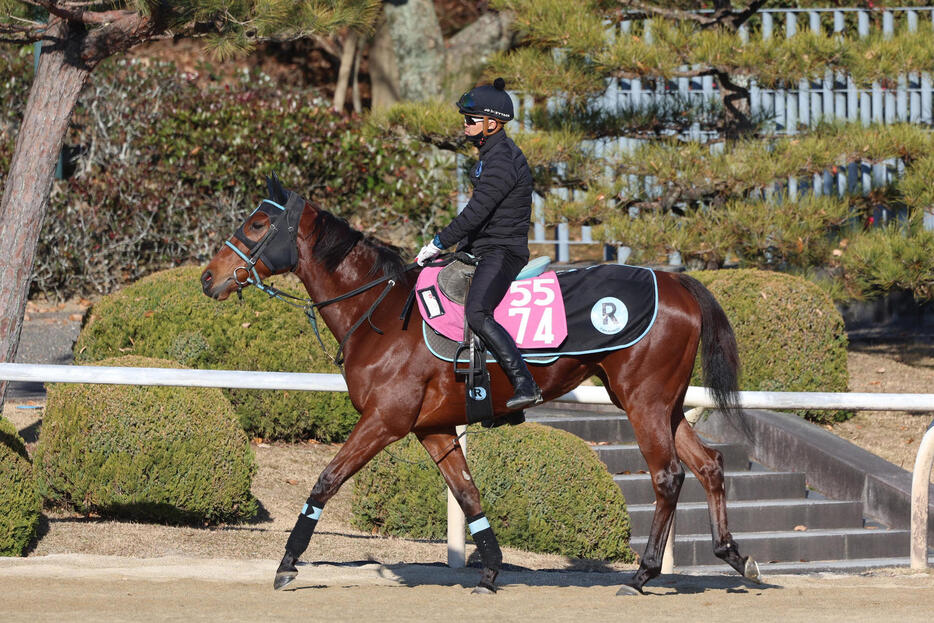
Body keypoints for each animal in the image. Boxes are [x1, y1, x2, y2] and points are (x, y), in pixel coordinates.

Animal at [201, 176, 764, 596]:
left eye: (256, 224)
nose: (208, 278)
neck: (380, 311)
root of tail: (676, 280)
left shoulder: (384, 420)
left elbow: (325, 480)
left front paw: (287, 562)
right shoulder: (432, 429)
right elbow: (469, 495)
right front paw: (490, 567)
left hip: (643, 401)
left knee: (667, 476)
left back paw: (644, 573)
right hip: (663, 403)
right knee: (709, 465)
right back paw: (735, 555)